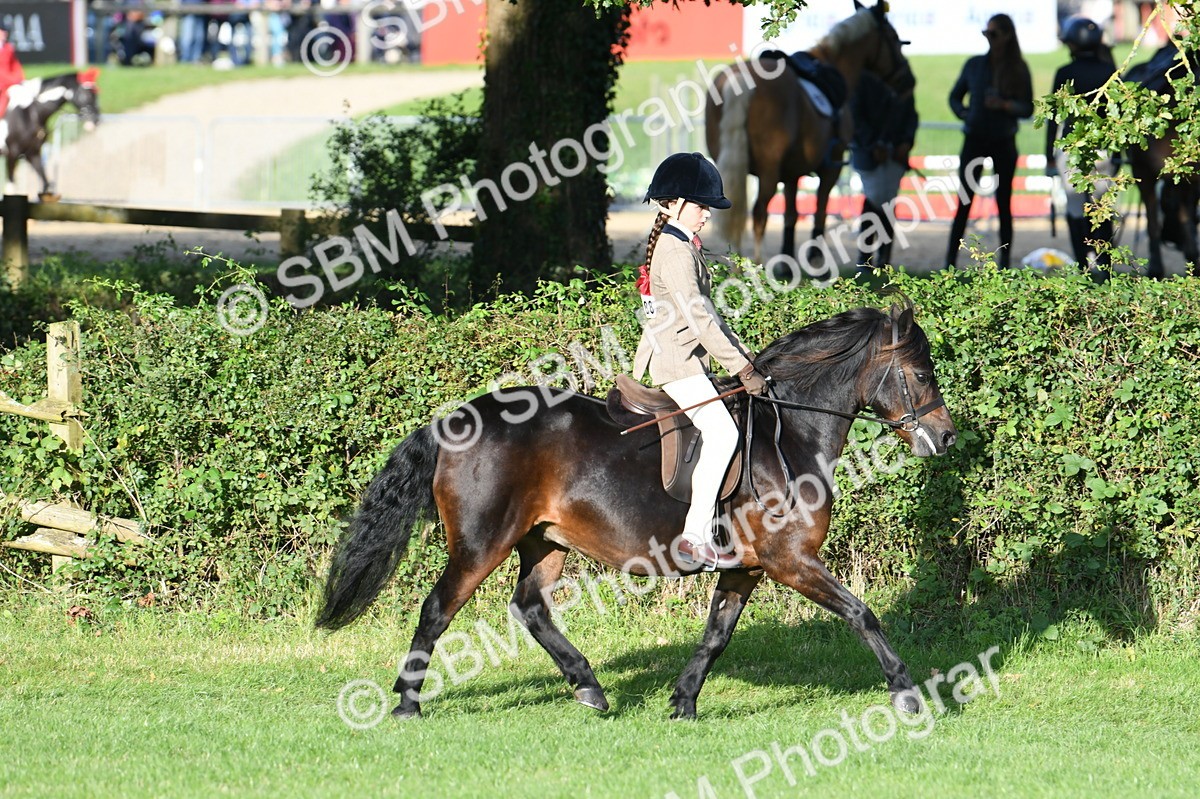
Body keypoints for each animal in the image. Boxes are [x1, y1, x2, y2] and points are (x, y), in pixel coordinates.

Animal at [1, 69, 101, 201]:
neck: (31, 112)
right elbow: (11, 189)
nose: (96, 121)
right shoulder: (12, 154)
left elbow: (45, 184)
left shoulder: (33, 154)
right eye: (88, 94)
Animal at [316, 304, 958, 720]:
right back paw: (407, 704)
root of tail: (456, 420)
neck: (790, 431)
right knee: (437, 610)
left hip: (545, 541)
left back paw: (590, 689)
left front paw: (683, 702)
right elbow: (862, 615)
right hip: (480, 545)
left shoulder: (747, 568)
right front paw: (907, 694)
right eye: (922, 373)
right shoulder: (790, 560)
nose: (947, 438)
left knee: (530, 607)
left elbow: (716, 636)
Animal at [706, 0, 914, 265]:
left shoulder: (792, 173)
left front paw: (786, 263)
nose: (909, 81)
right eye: (894, 38)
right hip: (768, 171)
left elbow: (791, 215)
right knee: (760, 213)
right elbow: (820, 212)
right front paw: (816, 258)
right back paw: (755, 266)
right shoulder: (830, 168)